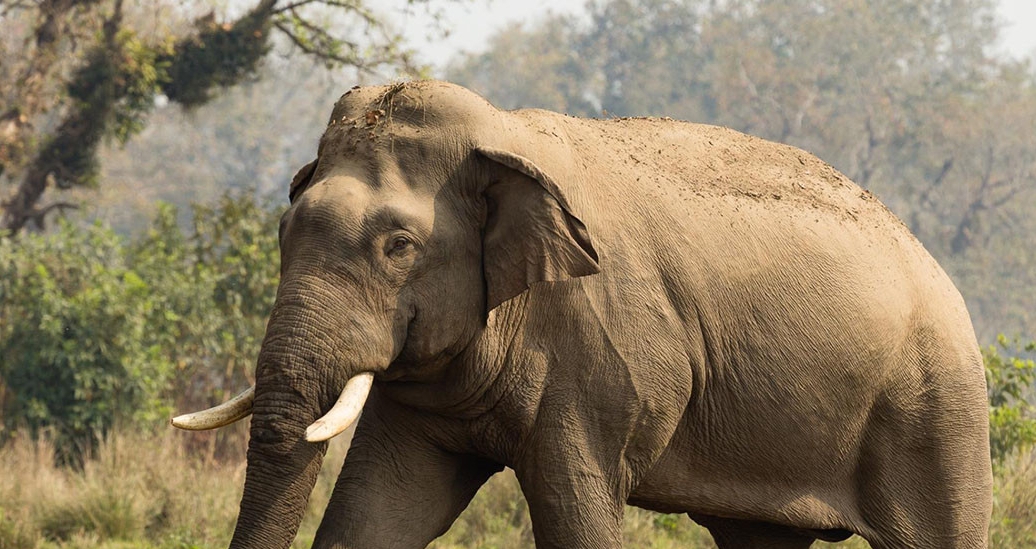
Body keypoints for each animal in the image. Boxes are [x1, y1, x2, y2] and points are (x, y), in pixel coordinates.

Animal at [174, 81, 990, 546]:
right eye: (283, 232)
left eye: (396, 246)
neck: (499, 133)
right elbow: (379, 512)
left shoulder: (604, 359)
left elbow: (575, 511)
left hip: (933, 410)